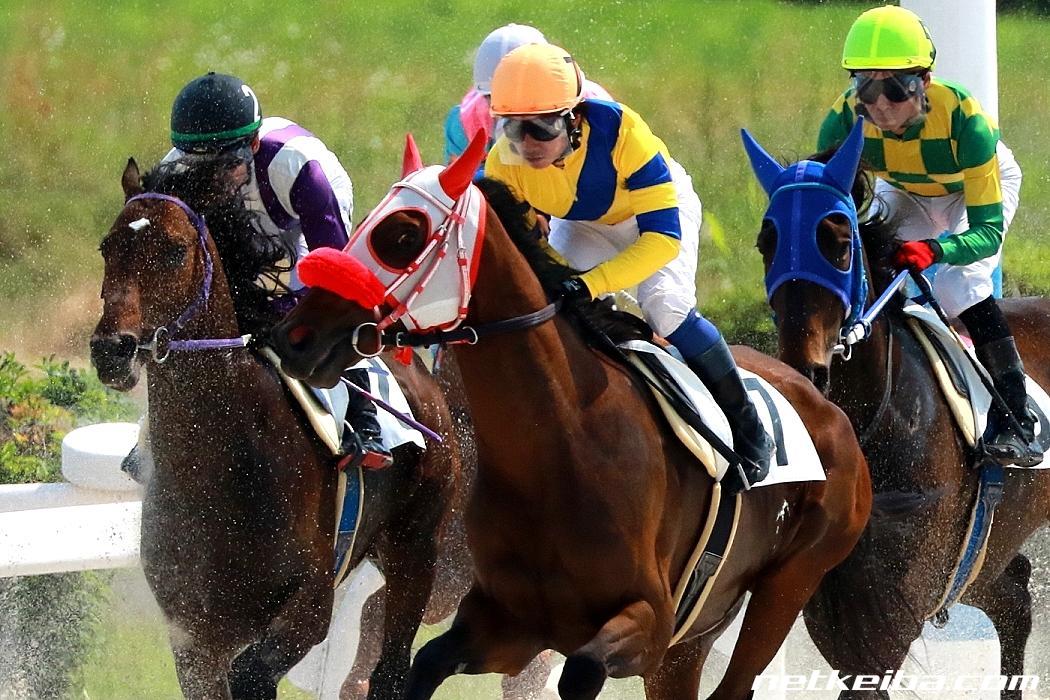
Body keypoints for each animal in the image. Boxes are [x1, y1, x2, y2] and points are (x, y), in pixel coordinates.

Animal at [90, 157, 466, 700]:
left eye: (175, 250)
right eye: (108, 245)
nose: (111, 350)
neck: (218, 470)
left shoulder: (308, 609)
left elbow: (254, 672)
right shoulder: (194, 641)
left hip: (415, 549)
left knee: (390, 669)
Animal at [268, 131, 871, 700]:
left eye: (401, 236)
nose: (295, 337)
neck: (561, 447)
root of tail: (827, 408)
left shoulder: (647, 621)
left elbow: (579, 671)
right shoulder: (508, 621)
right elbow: (426, 663)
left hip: (789, 584)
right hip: (695, 634)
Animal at [743, 120, 1050, 698]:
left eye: (839, 244)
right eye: (766, 242)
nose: (806, 370)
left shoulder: (900, 592)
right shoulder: (834, 597)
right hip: (984, 557)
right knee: (1016, 598)